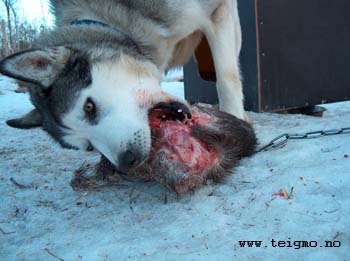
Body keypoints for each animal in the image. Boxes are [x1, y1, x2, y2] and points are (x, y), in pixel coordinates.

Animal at [0, 1, 245, 174]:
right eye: (89, 146)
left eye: (88, 107)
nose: (127, 161)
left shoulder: (217, 11)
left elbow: (226, 76)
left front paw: (235, 119)